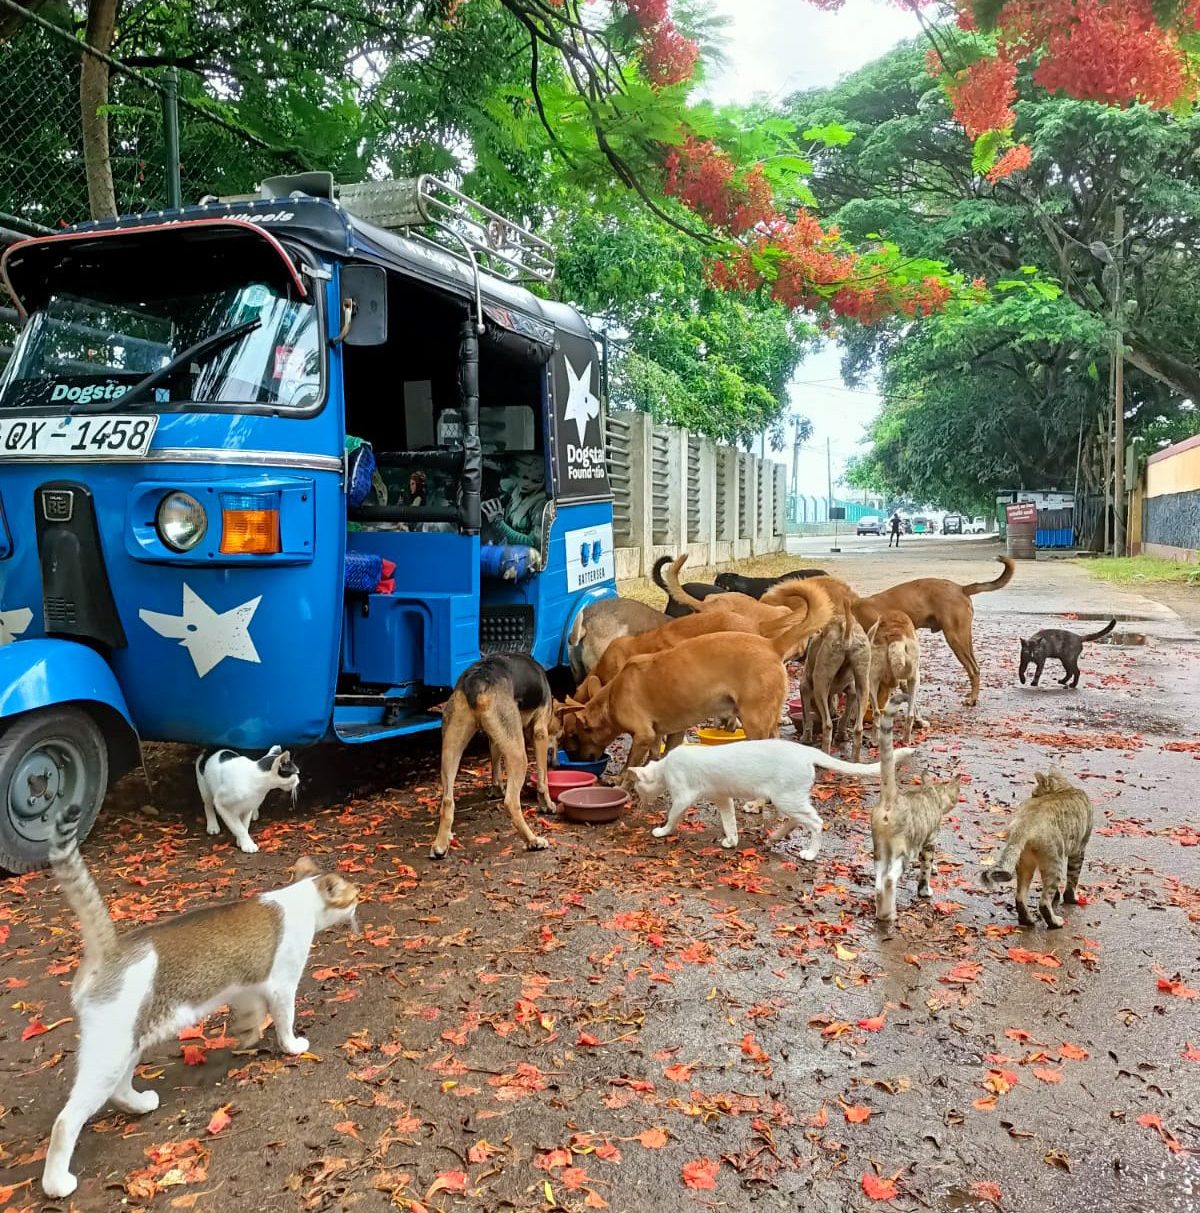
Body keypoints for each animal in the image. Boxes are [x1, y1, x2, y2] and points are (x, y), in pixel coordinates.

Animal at [43, 800, 361, 1198]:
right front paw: (292, 1045)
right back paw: (57, 1182)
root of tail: (112, 951)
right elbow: (285, 1021)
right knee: (66, 1120)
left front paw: (246, 1035)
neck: (301, 899)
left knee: (118, 1090)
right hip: (111, 1049)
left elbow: (250, 1014)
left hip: (127, 1043)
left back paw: (141, 1103)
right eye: (354, 896)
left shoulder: (248, 986)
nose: (360, 904)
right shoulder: (282, 985)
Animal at [626, 737, 907, 853]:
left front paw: (661, 831)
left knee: (816, 822)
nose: (637, 800)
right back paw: (775, 837)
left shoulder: (683, 796)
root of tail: (805, 750)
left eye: (638, 789)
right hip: (791, 799)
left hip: (787, 798)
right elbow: (730, 822)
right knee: (798, 820)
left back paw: (810, 853)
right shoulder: (723, 797)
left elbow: (673, 815)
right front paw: (732, 841)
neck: (665, 767)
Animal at [863, 555, 1009, 708]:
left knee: (973, 670)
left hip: (955, 639)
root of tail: (961, 588)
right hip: (964, 638)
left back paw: (972, 699)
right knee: (976, 667)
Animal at [868, 703, 956, 917]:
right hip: (902, 850)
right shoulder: (930, 840)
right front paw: (925, 889)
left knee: (878, 883)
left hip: (880, 849)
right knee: (889, 879)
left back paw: (882, 910)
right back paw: (889, 913)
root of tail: (891, 798)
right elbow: (926, 868)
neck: (930, 793)